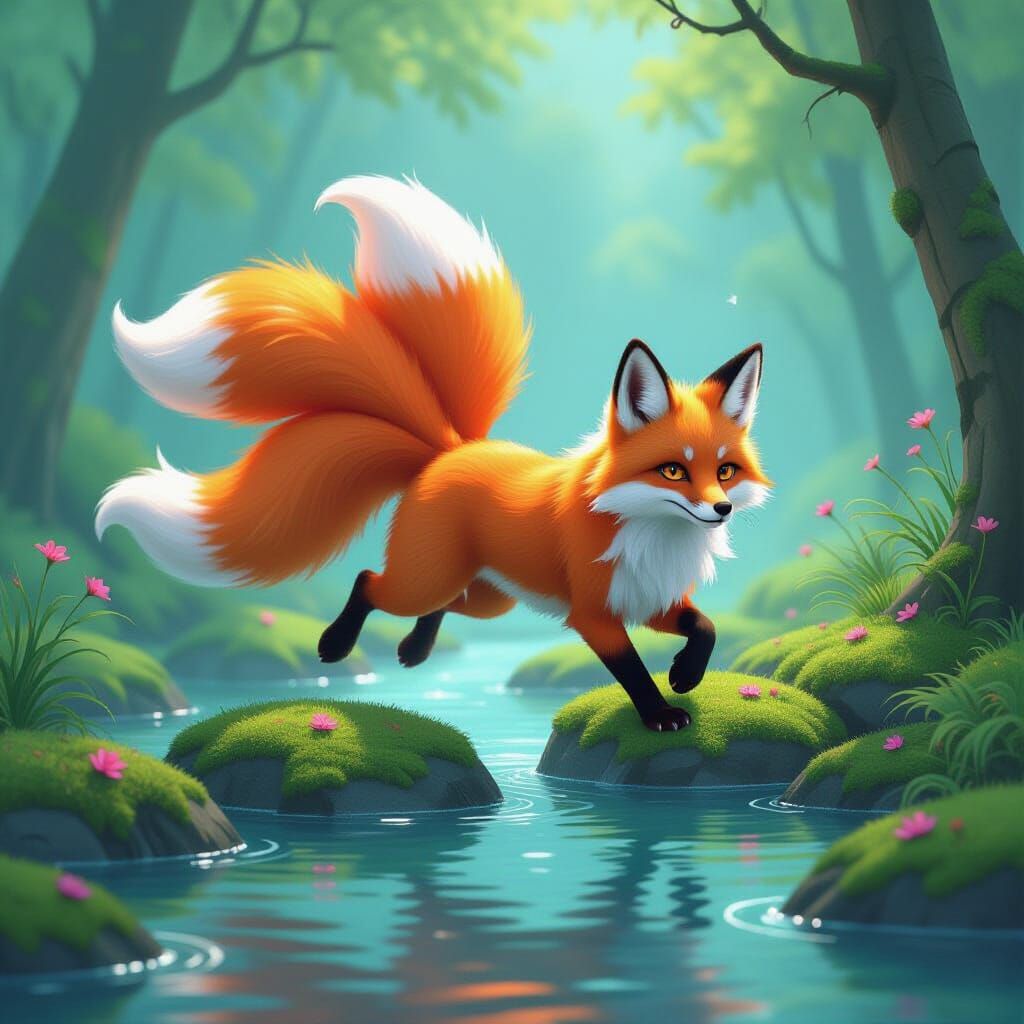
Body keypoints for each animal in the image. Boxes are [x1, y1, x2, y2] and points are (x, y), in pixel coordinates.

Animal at [96, 175, 771, 732]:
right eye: (673, 470)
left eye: (724, 470)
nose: (719, 510)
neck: (649, 531)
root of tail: (448, 450)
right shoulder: (594, 614)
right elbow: (631, 668)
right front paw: (660, 711)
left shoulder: (651, 598)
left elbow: (706, 626)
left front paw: (685, 674)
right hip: (430, 579)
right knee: (371, 583)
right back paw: (337, 643)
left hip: (494, 596)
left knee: (443, 605)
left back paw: (414, 650)